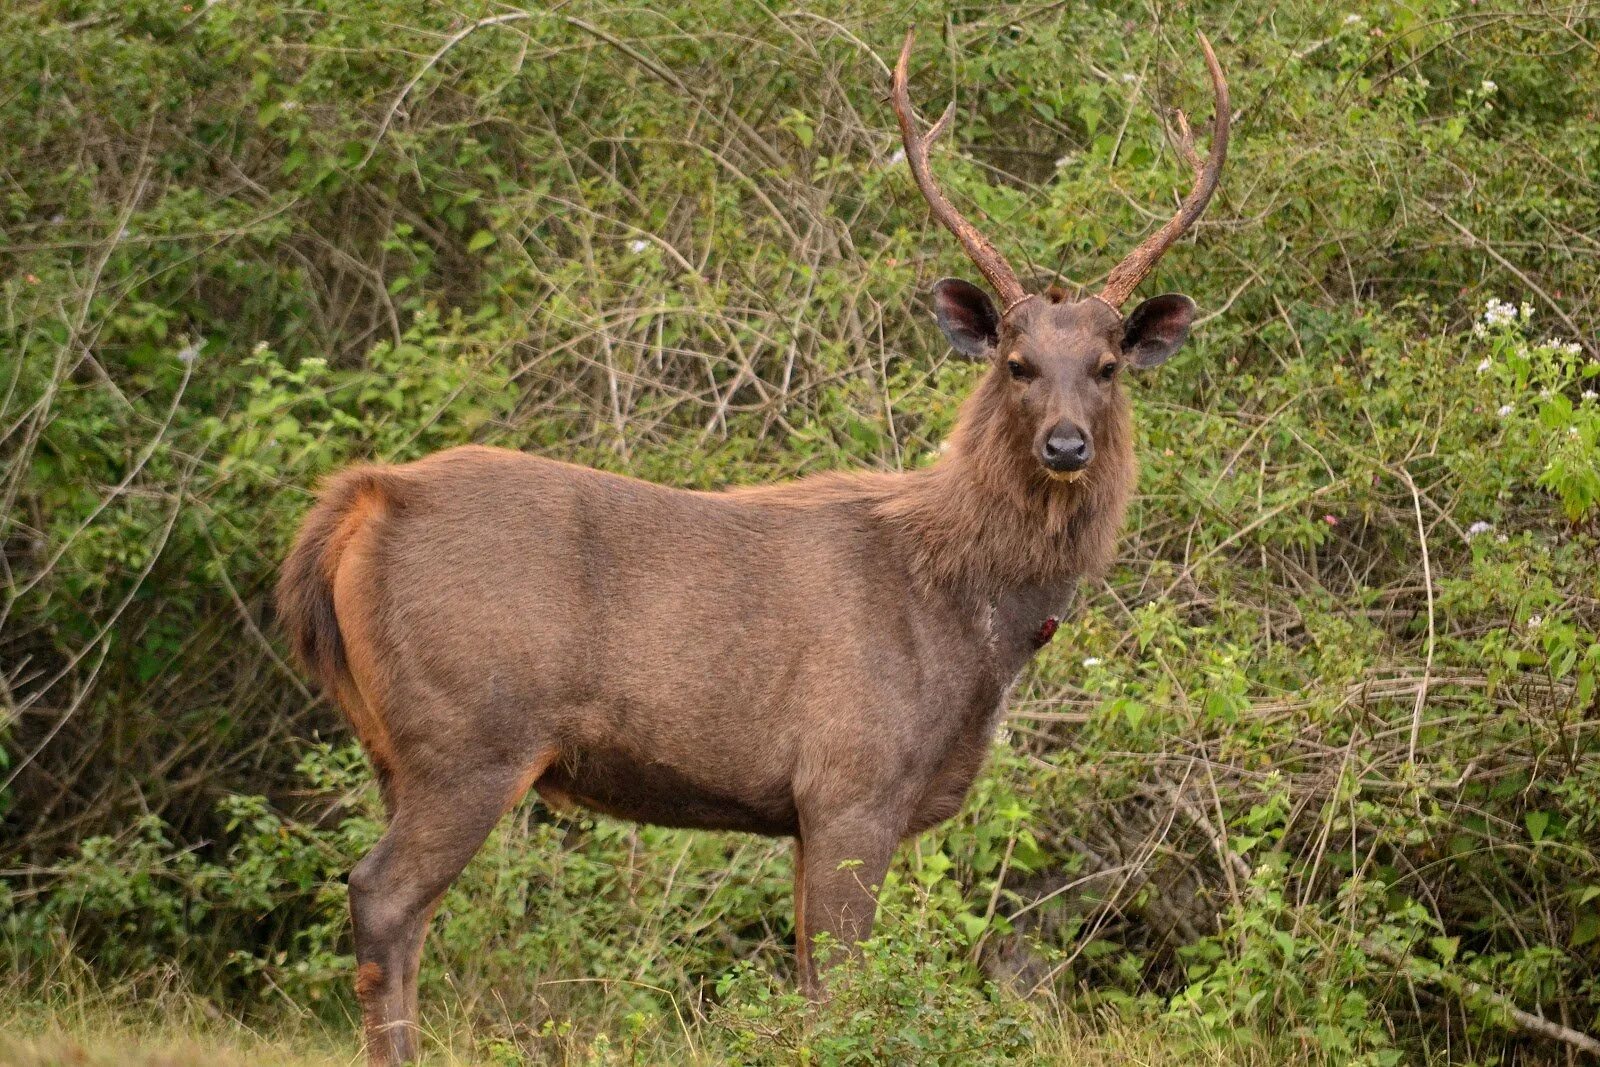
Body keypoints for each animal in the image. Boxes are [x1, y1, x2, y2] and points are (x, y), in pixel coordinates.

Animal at [275, 31, 1228, 1067]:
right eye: (1017, 364)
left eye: (1106, 366)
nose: (1066, 444)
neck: (969, 616)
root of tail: (364, 505)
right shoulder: (851, 777)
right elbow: (845, 990)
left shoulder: (806, 812)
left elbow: (811, 985)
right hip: (468, 732)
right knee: (384, 896)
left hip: (394, 745)